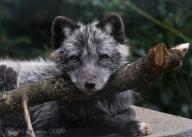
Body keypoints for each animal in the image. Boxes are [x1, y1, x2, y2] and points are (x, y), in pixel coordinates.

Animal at [0, 13, 152, 136]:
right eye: (75, 59)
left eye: (103, 57)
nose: (90, 84)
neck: (101, 102)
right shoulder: (65, 122)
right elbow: (105, 122)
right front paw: (135, 127)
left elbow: (130, 112)